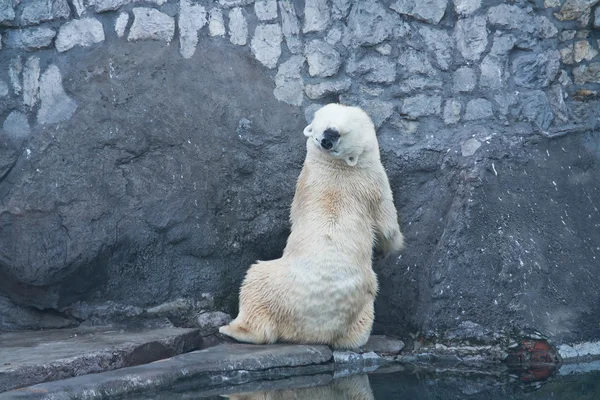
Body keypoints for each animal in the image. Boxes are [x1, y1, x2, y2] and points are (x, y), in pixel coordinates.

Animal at [219, 104, 404, 350]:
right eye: (319, 135)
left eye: (342, 135)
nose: (327, 138)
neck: (340, 168)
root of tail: (313, 330)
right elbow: (386, 225)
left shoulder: (372, 181)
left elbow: (388, 226)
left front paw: (390, 247)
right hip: (362, 305)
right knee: (356, 333)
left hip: (275, 286)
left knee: (255, 281)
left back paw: (234, 329)